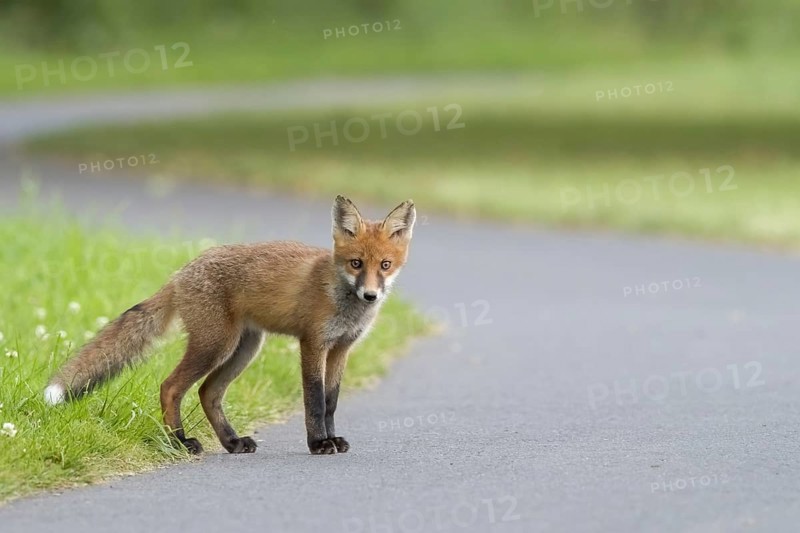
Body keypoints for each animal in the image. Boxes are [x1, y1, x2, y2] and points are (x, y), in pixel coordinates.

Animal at [44, 196, 415, 455]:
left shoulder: (341, 348)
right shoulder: (312, 343)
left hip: (244, 348)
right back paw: (179, 443)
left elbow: (331, 401)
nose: (370, 295)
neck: (339, 295)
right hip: (215, 345)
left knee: (208, 392)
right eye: (356, 263)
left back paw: (232, 442)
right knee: (171, 387)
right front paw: (317, 444)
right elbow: (314, 401)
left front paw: (332, 438)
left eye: (385, 265)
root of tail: (180, 273)